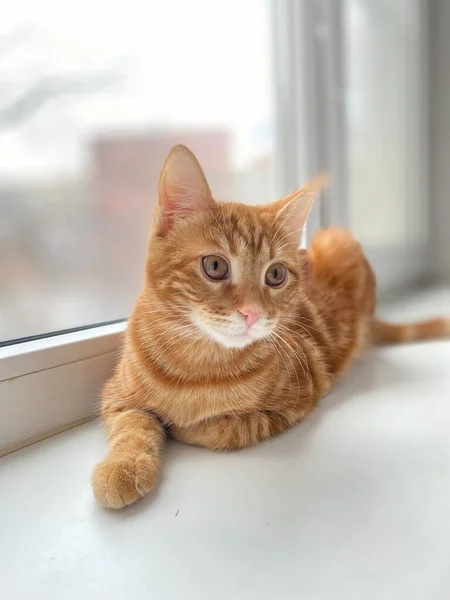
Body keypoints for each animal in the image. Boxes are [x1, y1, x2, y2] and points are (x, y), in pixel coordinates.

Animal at [92, 143, 450, 508]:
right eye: (215, 266)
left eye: (275, 274)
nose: (252, 312)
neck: (198, 363)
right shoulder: (115, 395)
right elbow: (133, 424)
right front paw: (122, 466)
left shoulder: (294, 404)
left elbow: (221, 429)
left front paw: (182, 427)